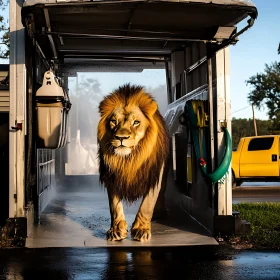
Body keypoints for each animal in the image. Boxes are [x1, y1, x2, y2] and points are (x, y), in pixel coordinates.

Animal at [97, 82, 170, 241]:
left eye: (136, 122)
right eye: (113, 121)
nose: (121, 138)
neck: (129, 160)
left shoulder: (154, 175)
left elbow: (147, 205)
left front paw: (141, 229)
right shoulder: (112, 176)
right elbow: (114, 206)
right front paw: (117, 230)